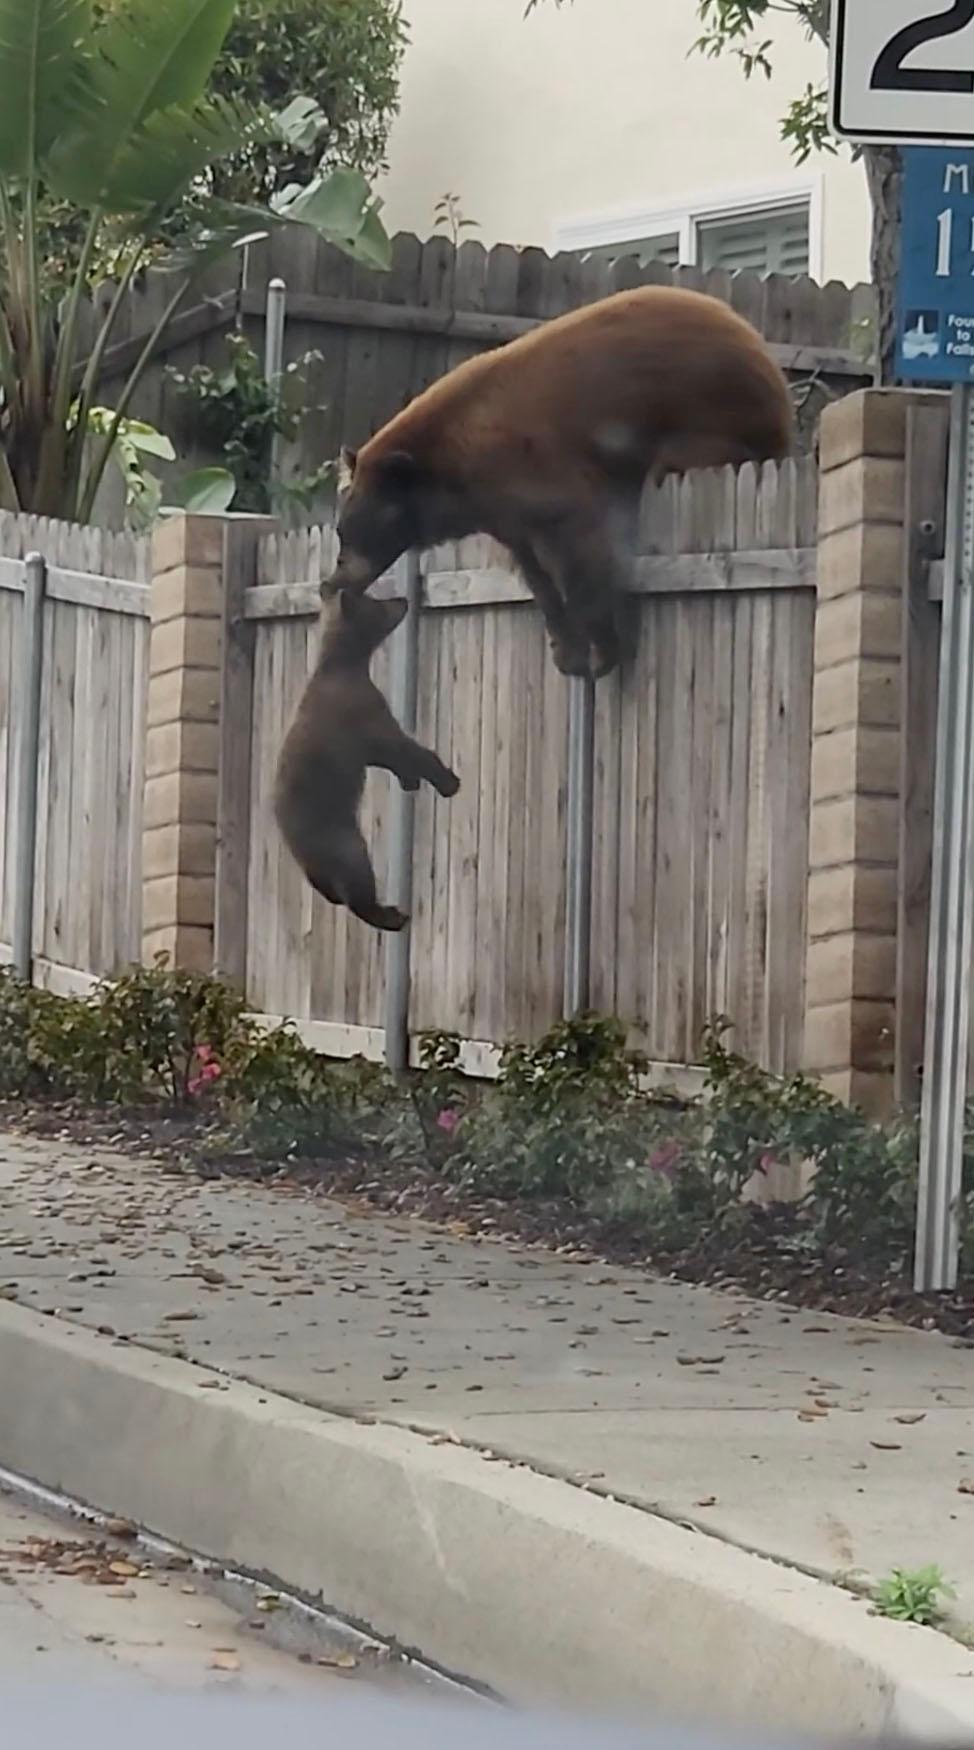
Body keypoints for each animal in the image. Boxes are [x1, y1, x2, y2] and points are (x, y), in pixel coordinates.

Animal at [274, 589, 460, 933]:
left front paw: (410, 780)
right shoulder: (365, 712)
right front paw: (447, 779)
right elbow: (403, 747)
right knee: (357, 884)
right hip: (342, 841)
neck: (344, 665)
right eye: (377, 603)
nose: (403, 599)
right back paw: (392, 915)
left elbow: (389, 758)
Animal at [329, 285, 794, 677]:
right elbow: (534, 570)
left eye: (363, 528)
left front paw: (602, 649)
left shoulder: (541, 469)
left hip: (711, 417)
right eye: (341, 531)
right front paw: (566, 649)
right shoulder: (502, 509)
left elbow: (579, 543)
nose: (331, 583)